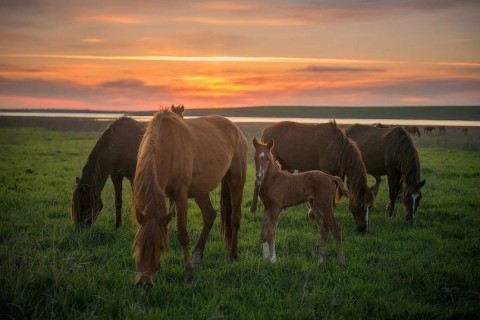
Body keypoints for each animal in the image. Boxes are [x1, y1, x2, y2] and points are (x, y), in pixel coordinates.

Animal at [134, 109, 248, 284]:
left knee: (235, 218)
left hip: (236, 183)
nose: (144, 283)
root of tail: (237, 130)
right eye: (139, 245)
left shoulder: (180, 196)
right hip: (200, 191)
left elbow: (182, 234)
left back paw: (233, 254)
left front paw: (189, 272)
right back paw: (198, 255)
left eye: (160, 247)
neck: (166, 146)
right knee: (209, 215)